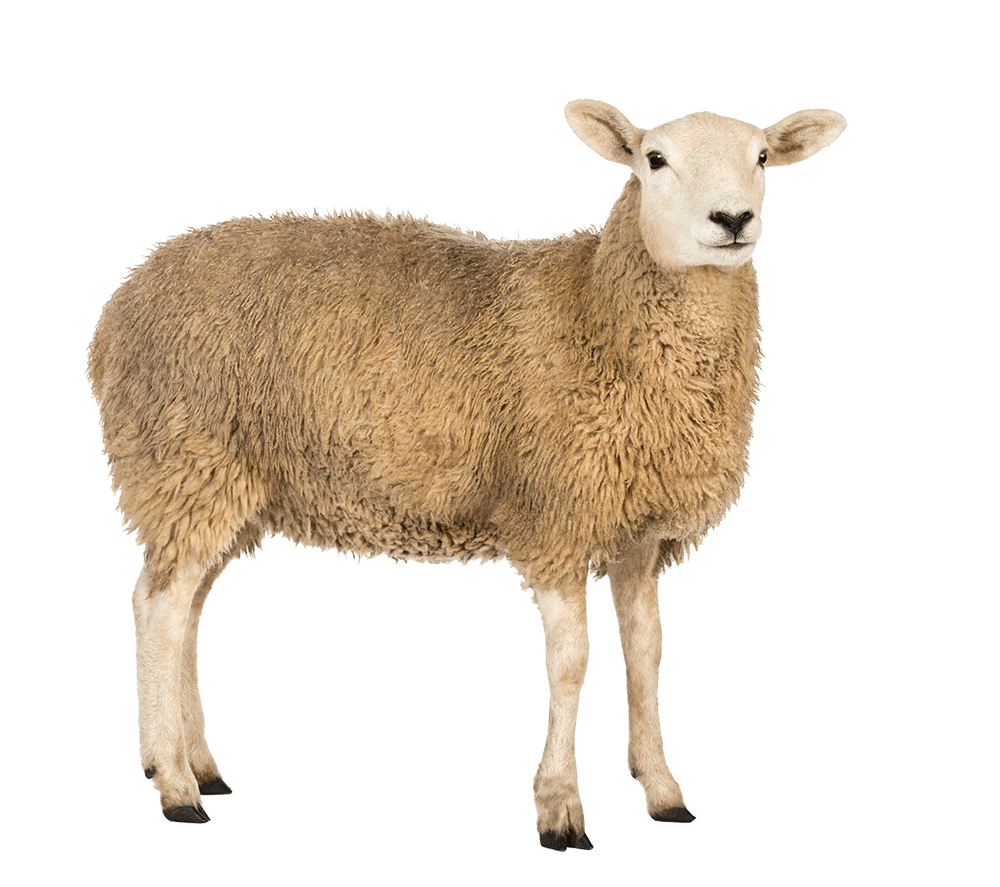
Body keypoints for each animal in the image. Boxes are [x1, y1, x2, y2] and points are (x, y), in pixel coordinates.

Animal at [86, 98, 846, 849]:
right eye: (654, 160)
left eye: (761, 157)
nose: (733, 219)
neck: (597, 308)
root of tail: (124, 301)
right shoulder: (555, 513)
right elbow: (572, 661)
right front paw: (559, 807)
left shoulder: (638, 529)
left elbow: (647, 654)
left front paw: (661, 789)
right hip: (184, 458)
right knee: (157, 607)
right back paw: (175, 787)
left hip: (227, 487)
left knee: (187, 608)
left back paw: (197, 764)